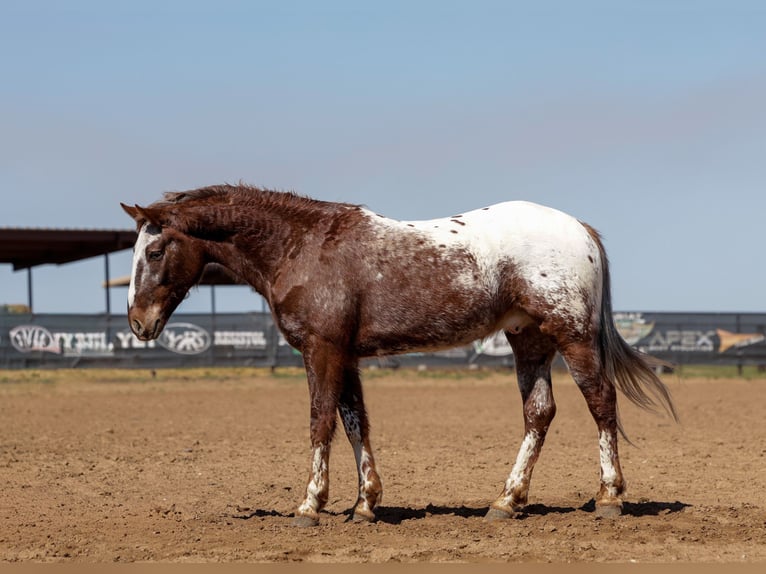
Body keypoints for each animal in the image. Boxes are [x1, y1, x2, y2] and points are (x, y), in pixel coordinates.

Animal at [121, 183, 677, 527]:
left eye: (154, 252)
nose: (137, 322)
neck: (304, 246)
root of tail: (581, 229)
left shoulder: (322, 351)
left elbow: (320, 421)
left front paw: (310, 505)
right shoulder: (345, 356)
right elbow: (355, 423)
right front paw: (365, 503)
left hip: (572, 335)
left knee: (601, 403)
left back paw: (609, 497)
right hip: (529, 340)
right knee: (539, 413)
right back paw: (506, 501)